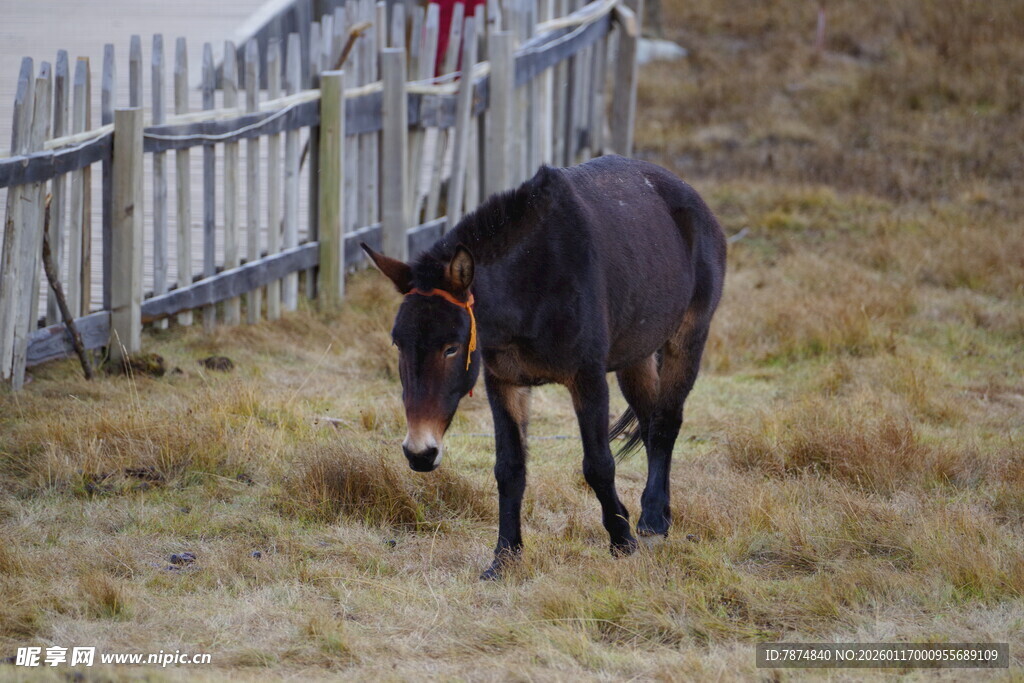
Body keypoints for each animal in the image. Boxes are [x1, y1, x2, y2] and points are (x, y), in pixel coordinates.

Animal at [361, 154, 726, 579]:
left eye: (451, 348)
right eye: (397, 343)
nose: (419, 453)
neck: (533, 282)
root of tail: (691, 197)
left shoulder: (587, 378)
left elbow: (598, 464)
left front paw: (622, 543)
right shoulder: (503, 382)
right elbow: (509, 469)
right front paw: (504, 557)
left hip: (687, 337)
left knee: (666, 422)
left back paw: (651, 521)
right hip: (636, 354)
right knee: (651, 422)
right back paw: (656, 516)